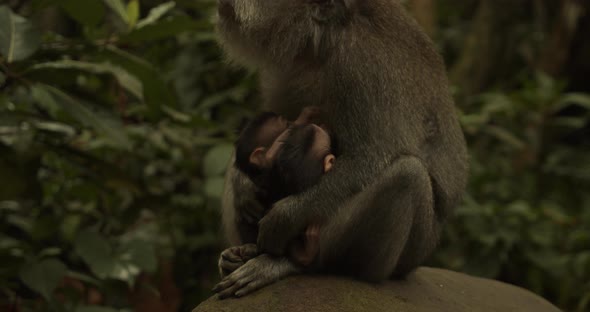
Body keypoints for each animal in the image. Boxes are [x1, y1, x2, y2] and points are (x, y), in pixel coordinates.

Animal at [215, 0, 470, 298]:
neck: (323, 40)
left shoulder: (360, 68)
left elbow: (370, 156)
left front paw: (283, 217)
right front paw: (243, 182)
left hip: (409, 254)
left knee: (408, 175)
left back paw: (293, 263)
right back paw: (241, 252)